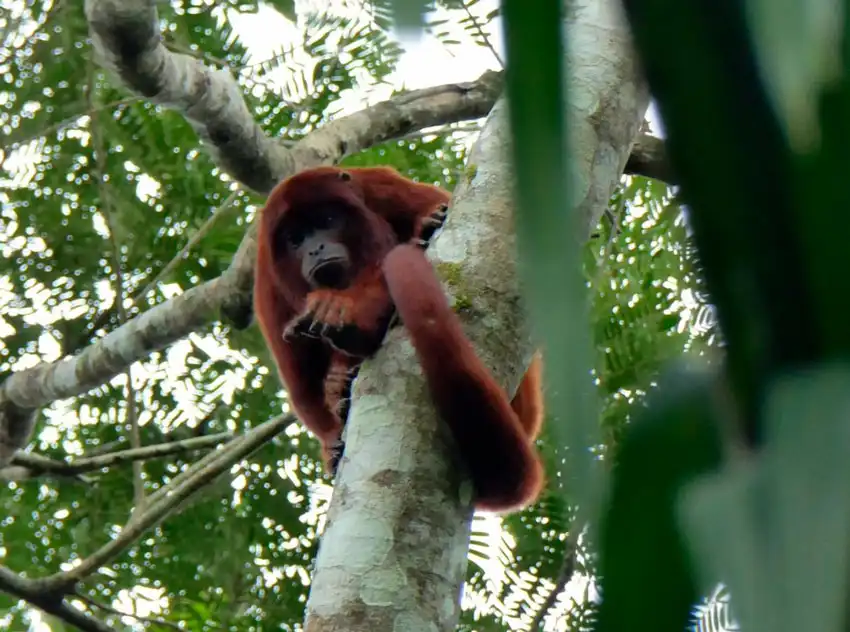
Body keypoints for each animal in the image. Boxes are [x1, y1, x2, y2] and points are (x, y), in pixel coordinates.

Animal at [253, 165, 544, 512]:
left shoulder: (384, 187)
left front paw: (339, 308)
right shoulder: (267, 278)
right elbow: (303, 388)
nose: (315, 248)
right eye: (295, 239)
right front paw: (332, 434)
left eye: (327, 221)